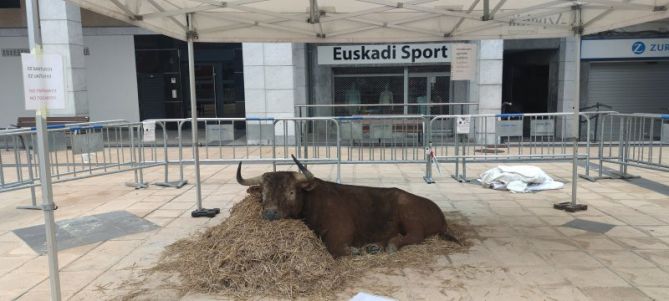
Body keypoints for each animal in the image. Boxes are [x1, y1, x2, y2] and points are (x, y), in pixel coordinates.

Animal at [235, 156, 454, 256]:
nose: (270, 213)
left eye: (291, 192)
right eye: (263, 193)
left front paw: (356, 251)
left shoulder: (341, 234)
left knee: (414, 236)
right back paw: (375, 246)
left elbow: (335, 248)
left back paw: (389, 245)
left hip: (410, 217)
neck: (313, 203)